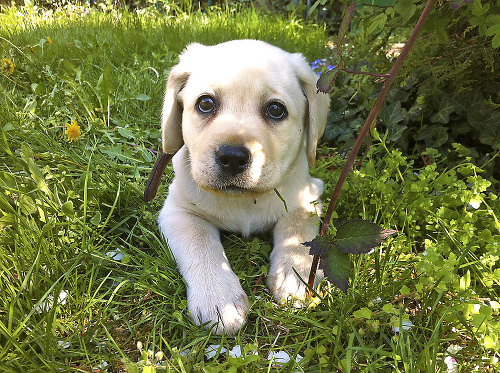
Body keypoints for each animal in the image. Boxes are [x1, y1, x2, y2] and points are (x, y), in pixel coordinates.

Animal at [155, 39, 328, 332]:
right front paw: (219, 300)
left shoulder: (309, 198)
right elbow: (201, 244)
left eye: (275, 109)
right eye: (205, 103)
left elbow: (297, 233)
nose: (233, 157)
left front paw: (294, 276)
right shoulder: (178, 211)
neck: (245, 201)